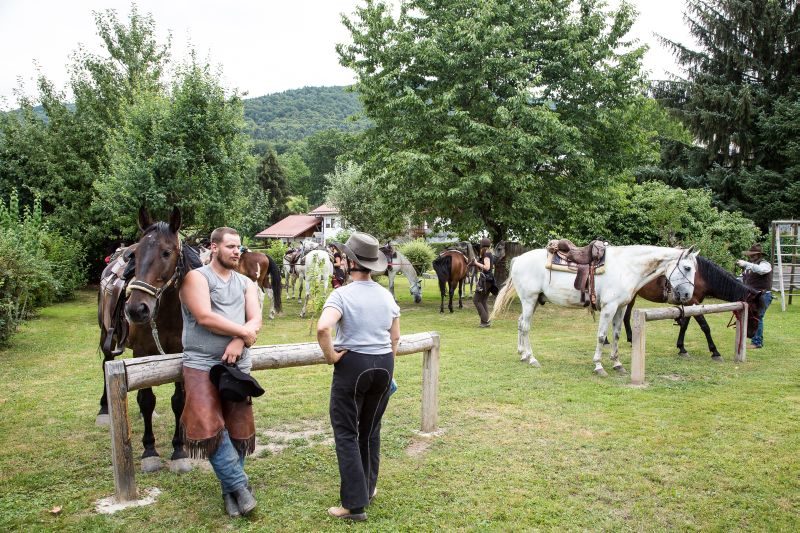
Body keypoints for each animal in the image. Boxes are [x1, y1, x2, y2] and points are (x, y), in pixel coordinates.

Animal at [488, 244, 692, 374]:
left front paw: (617, 364)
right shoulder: (609, 307)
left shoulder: (621, 307)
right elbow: (602, 336)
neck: (626, 267)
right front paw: (598, 366)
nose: (688, 295)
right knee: (525, 327)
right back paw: (531, 358)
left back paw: (522, 354)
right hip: (529, 300)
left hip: (534, 301)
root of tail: (518, 259)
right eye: (688, 267)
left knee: (520, 323)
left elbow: (616, 335)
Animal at [620, 255, 764, 362]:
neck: (701, 276)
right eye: (755, 310)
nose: (751, 334)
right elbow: (705, 326)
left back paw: (630, 339)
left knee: (626, 316)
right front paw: (715, 352)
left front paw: (682, 348)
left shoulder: (690, 304)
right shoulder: (692, 302)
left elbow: (684, 325)